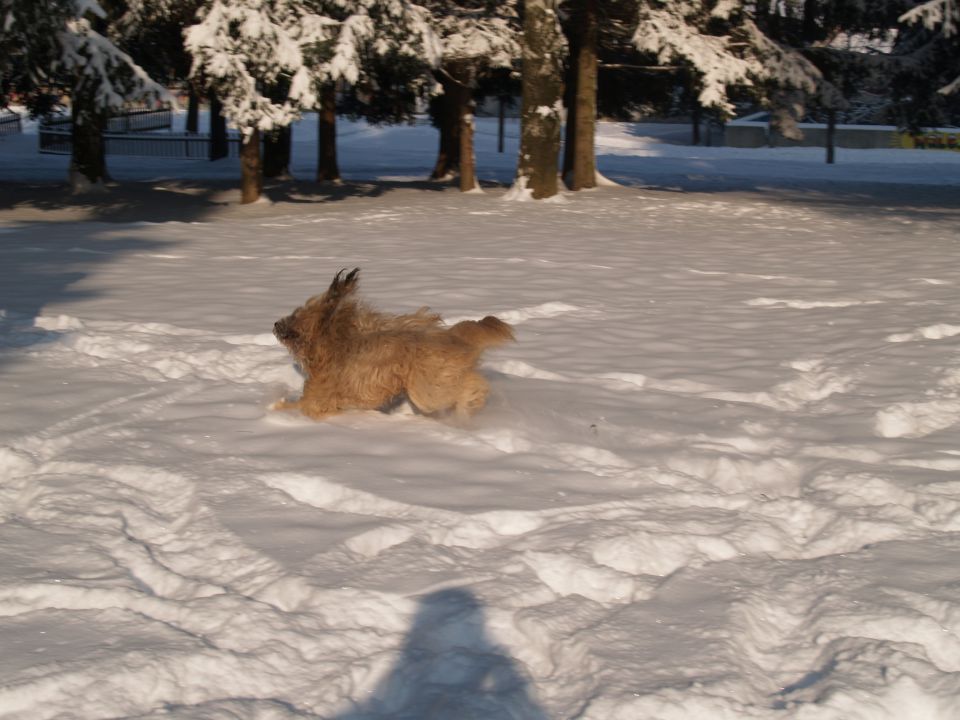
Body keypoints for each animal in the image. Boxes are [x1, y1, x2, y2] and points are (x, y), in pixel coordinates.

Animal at [274, 268, 512, 420]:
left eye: (296, 315)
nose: (275, 324)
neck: (335, 344)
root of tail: (455, 338)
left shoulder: (320, 398)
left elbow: (303, 406)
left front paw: (276, 407)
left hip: (427, 387)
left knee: (471, 385)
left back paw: (469, 405)